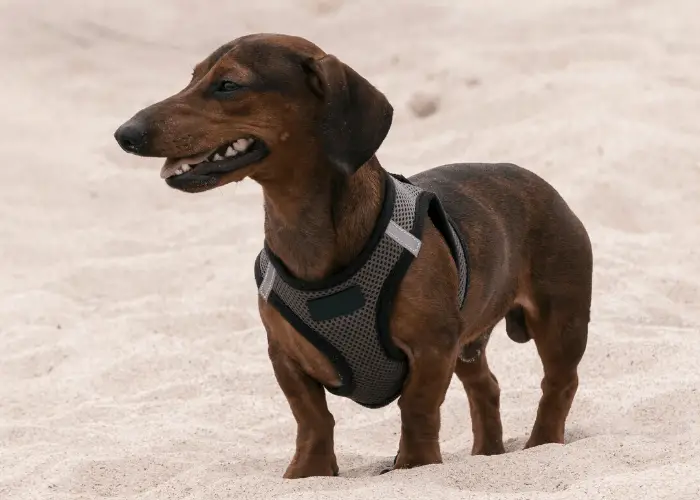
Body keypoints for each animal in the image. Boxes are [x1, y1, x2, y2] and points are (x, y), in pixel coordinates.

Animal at [113, 33, 592, 478]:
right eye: (192, 78)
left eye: (229, 84)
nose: (125, 135)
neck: (308, 236)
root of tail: (538, 182)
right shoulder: (285, 356)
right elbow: (312, 418)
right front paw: (309, 472)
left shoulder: (432, 347)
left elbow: (417, 410)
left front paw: (415, 465)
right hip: (468, 343)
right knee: (486, 387)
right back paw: (488, 454)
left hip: (560, 320)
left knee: (559, 383)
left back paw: (541, 444)